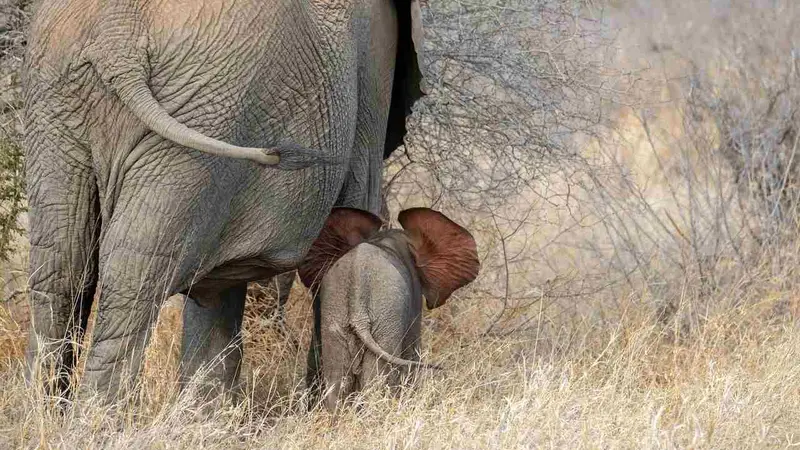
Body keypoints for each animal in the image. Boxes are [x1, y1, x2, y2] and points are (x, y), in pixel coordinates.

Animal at [23, 0, 424, 400]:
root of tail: (116, 41)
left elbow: (216, 291)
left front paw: (204, 409)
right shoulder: (374, 60)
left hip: (64, 105)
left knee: (62, 269)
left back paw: (50, 411)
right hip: (206, 115)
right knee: (131, 282)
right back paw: (96, 414)